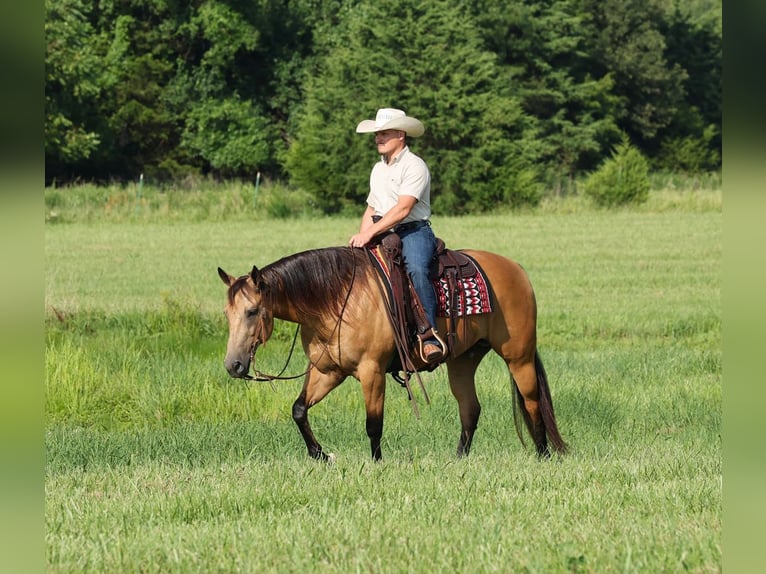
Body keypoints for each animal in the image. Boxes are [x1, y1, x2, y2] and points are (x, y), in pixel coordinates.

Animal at [218, 246, 567, 461]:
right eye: (227, 313)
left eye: (252, 311)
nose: (234, 365)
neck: (336, 299)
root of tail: (515, 268)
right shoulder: (328, 371)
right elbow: (299, 410)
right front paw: (321, 455)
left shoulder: (371, 370)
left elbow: (373, 423)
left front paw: (376, 463)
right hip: (463, 361)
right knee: (470, 408)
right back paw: (459, 459)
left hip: (518, 356)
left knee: (532, 401)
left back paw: (543, 454)